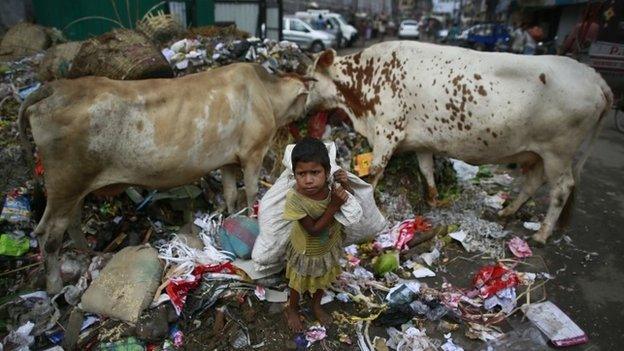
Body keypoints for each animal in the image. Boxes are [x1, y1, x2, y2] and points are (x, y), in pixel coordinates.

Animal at [18, 63, 310, 294]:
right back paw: (55, 285)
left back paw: (87, 253)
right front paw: (251, 217)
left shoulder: (228, 161)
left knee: (73, 221)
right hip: (65, 183)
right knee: (48, 233)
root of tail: (55, 88)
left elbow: (229, 194)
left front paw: (229, 219)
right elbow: (250, 192)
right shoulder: (252, 154)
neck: (266, 94)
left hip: (74, 186)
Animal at [304, 40, 612, 245]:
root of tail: (593, 76)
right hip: (537, 152)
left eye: (310, 79)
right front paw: (434, 199)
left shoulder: (387, 131)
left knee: (562, 189)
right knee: (533, 182)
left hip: (558, 152)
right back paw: (508, 210)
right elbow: (426, 170)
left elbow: (375, 172)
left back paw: (542, 232)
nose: (304, 109)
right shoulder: (421, 142)